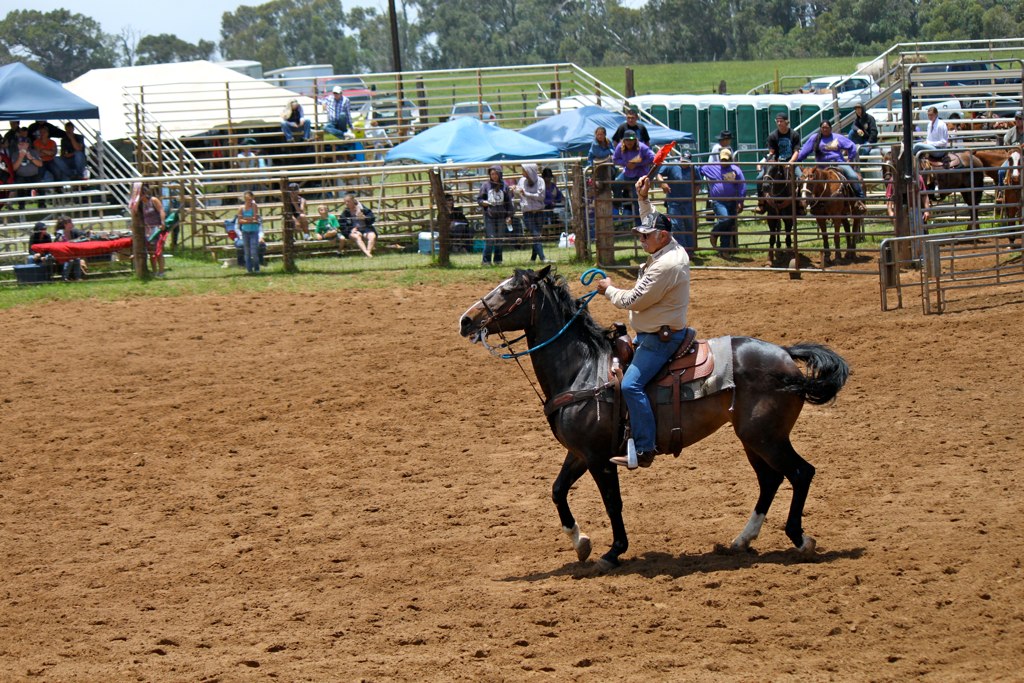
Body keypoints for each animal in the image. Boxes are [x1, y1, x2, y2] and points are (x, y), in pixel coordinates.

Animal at [458, 266, 847, 573]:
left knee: (800, 473)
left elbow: (612, 502)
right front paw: (580, 541)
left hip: (767, 436)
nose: (465, 320)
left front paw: (612, 553)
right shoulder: (580, 453)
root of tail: (785, 355)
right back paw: (742, 540)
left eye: (508, 291)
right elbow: (557, 491)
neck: (584, 370)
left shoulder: (599, 458)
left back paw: (800, 540)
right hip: (753, 438)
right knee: (771, 479)